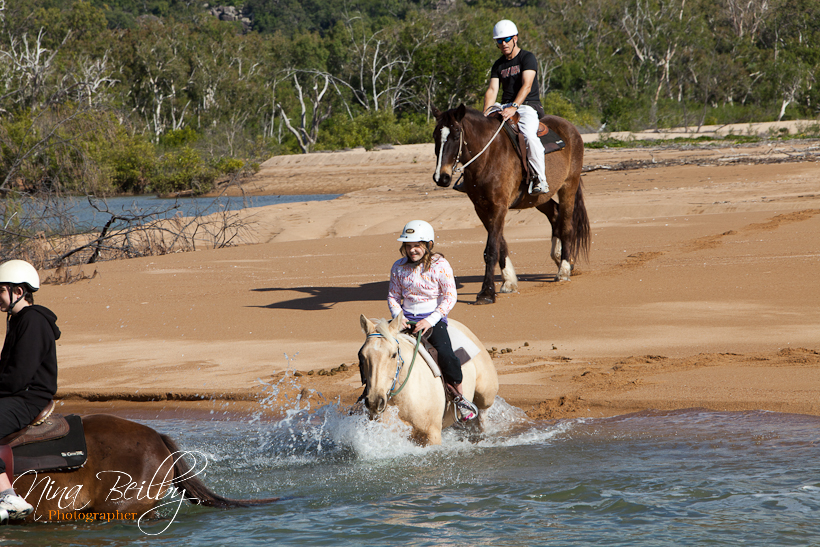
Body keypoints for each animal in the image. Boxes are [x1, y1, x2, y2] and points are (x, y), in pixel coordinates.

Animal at [358, 313, 498, 445]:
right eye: (362, 355)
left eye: (393, 355)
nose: (374, 401)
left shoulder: (432, 434)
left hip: (485, 396)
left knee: (482, 417)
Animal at [432, 104, 590, 304]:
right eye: (435, 135)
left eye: (456, 134)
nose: (441, 177)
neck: (488, 156)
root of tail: (570, 127)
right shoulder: (482, 208)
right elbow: (500, 245)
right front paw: (508, 282)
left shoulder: (498, 206)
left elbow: (491, 249)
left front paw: (486, 292)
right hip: (538, 198)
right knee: (555, 215)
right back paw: (560, 257)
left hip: (569, 186)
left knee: (567, 226)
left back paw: (564, 269)